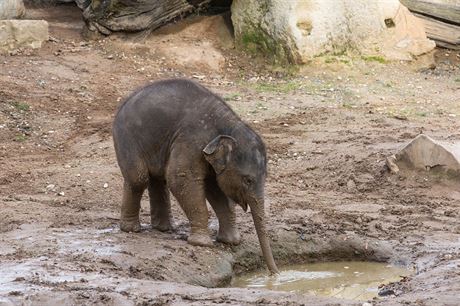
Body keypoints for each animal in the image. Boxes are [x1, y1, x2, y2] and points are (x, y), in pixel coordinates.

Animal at [113, 78, 278, 272]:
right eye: (248, 180)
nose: (275, 274)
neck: (227, 124)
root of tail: (124, 101)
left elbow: (215, 189)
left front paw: (230, 241)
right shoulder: (191, 141)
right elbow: (180, 178)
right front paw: (202, 244)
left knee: (158, 179)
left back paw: (164, 229)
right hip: (127, 138)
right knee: (138, 179)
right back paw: (132, 229)